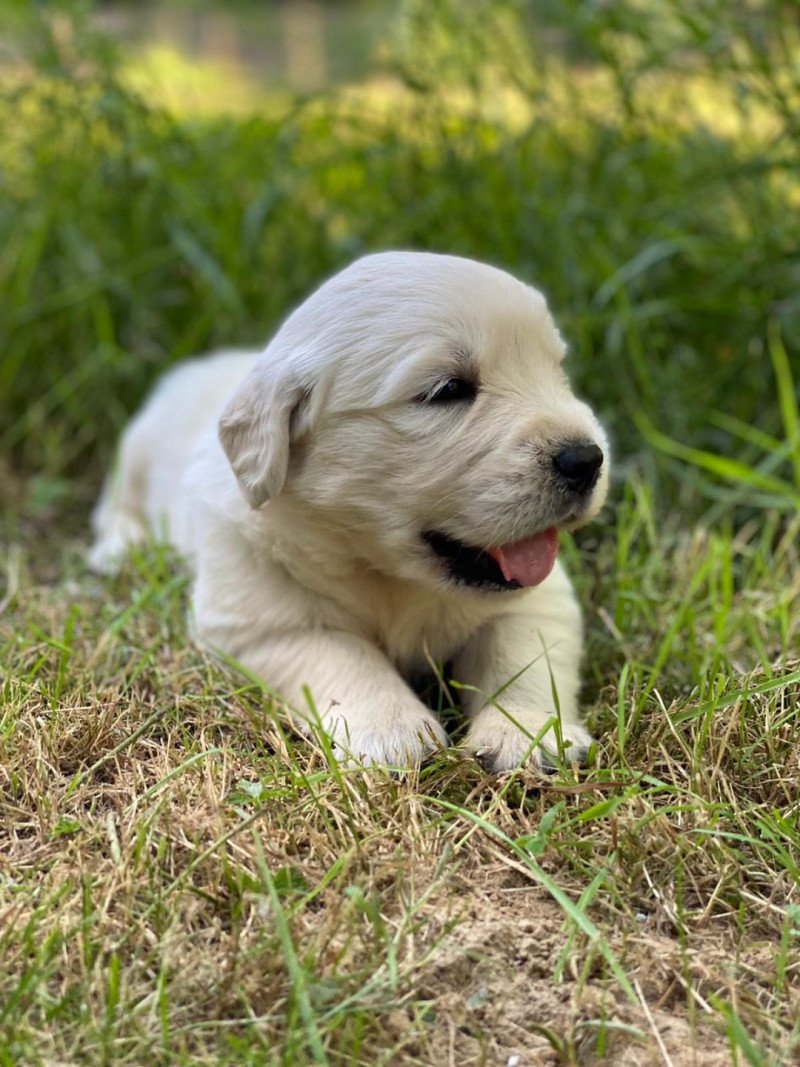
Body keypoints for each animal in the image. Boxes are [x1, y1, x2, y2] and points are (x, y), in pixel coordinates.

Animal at [89, 251, 605, 768]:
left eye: (556, 371)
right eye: (447, 390)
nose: (588, 459)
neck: (386, 574)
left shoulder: (539, 601)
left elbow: (521, 657)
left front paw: (529, 732)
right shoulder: (262, 621)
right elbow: (346, 655)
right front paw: (393, 729)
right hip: (135, 448)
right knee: (115, 504)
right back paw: (120, 549)